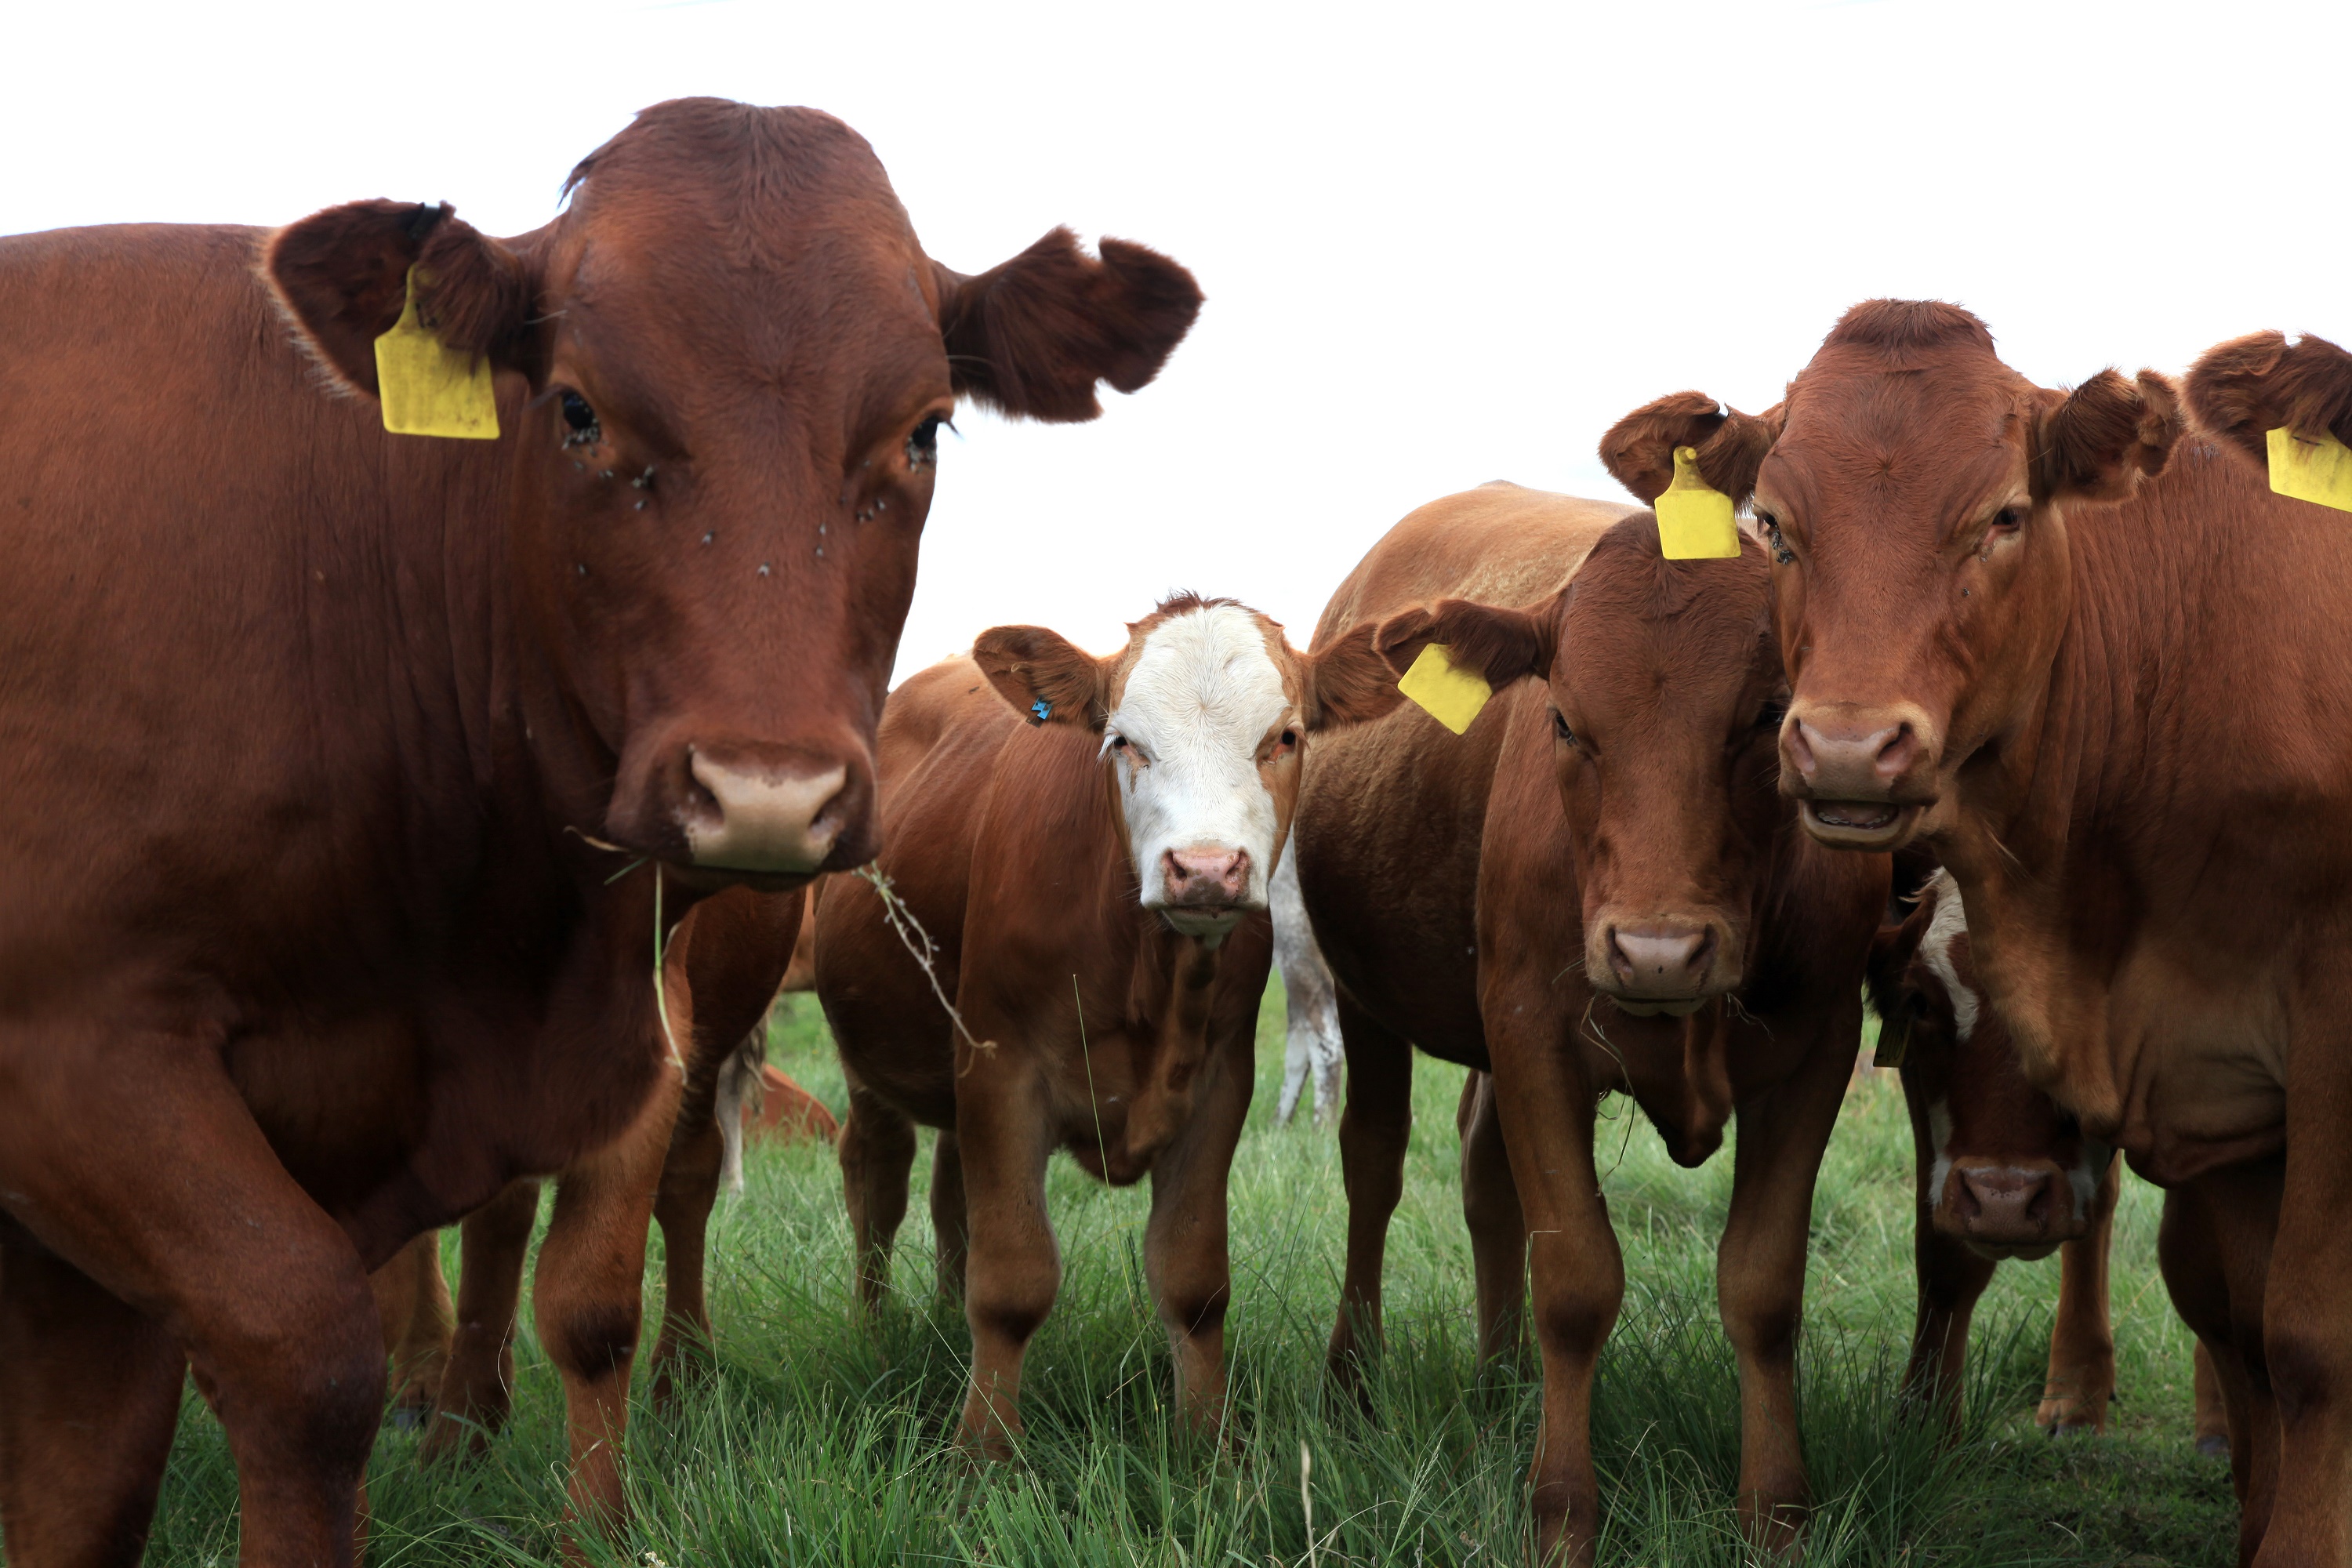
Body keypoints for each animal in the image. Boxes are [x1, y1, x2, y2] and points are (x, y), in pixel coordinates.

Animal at [4, 100, 1195, 1568]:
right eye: (573, 409)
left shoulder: (629, 1024)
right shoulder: (80, 1059)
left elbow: (582, 1302)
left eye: (923, 433)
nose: (765, 791)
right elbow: (302, 1355)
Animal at [818, 601, 1392, 1457]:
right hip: (871, 1063)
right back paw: (874, 1327)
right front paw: (984, 1453)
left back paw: (944, 1322)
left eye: (1286, 736)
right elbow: (1012, 1281)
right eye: (1123, 741)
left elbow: (1193, 1280)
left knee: (950, 1195)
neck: (1143, 969)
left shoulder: (1218, 1085)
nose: (1205, 869)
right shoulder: (1002, 1073)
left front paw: (1207, 1445)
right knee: (877, 1182)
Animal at [1298, 484, 1882, 1561]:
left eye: (1768, 714)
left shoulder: (1817, 1053)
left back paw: (1502, 1380)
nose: (1656, 950)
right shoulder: (1534, 1037)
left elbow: (1764, 1286)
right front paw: (1562, 1514)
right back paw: (1354, 1376)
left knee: (1485, 1175)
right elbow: (1574, 1279)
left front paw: (1777, 1512)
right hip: (1365, 1002)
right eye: (1565, 721)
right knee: (1374, 1163)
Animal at [1609, 300, 2352, 1561]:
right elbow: (2253, 1320)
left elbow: (2309, 1337)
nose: (1848, 749)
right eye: (1775, 525)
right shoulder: (2229, 1074)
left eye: (2003, 516)